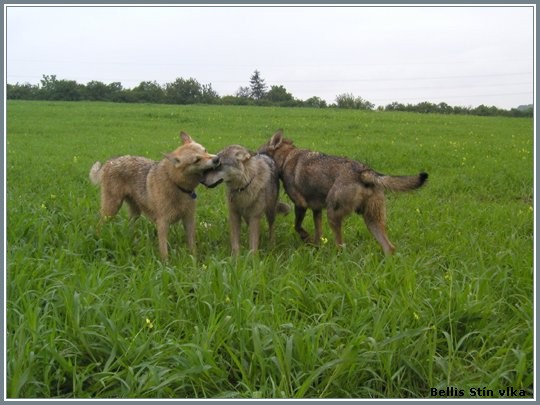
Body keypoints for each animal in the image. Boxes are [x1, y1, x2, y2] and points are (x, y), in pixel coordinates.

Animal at [88, 133, 217, 258]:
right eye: (197, 160)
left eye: (205, 150)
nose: (217, 159)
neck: (176, 184)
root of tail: (110, 162)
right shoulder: (162, 223)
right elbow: (164, 252)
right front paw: (166, 264)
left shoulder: (189, 219)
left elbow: (192, 247)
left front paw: (194, 261)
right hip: (111, 209)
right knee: (98, 225)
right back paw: (98, 239)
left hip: (135, 213)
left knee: (129, 226)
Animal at [260, 131, 428, 254]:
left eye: (258, 151)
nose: (253, 153)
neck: (286, 157)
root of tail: (363, 171)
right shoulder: (316, 210)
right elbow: (318, 234)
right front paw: (315, 249)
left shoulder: (300, 205)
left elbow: (298, 227)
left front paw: (307, 239)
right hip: (371, 220)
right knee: (389, 247)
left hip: (333, 215)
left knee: (341, 246)